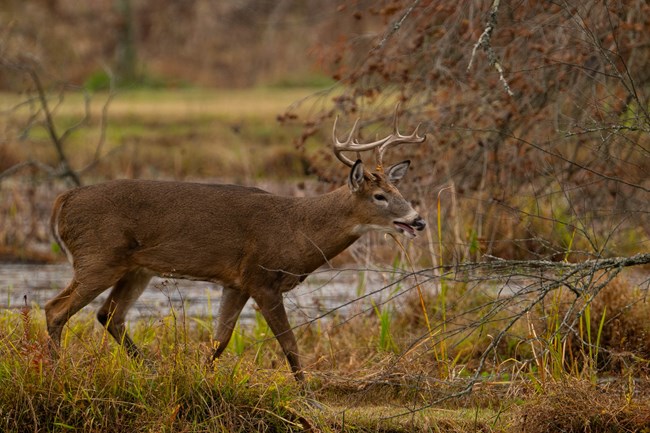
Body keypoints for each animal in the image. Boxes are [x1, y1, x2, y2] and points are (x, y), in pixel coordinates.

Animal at [45, 108, 426, 382]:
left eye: (398, 190)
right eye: (379, 196)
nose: (418, 220)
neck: (297, 228)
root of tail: (62, 200)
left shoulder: (236, 282)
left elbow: (220, 340)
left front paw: (199, 380)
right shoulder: (262, 278)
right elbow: (290, 343)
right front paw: (307, 394)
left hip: (136, 269)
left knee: (109, 315)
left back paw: (150, 370)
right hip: (97, 257)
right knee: (55, 309)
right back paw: (57, 372)